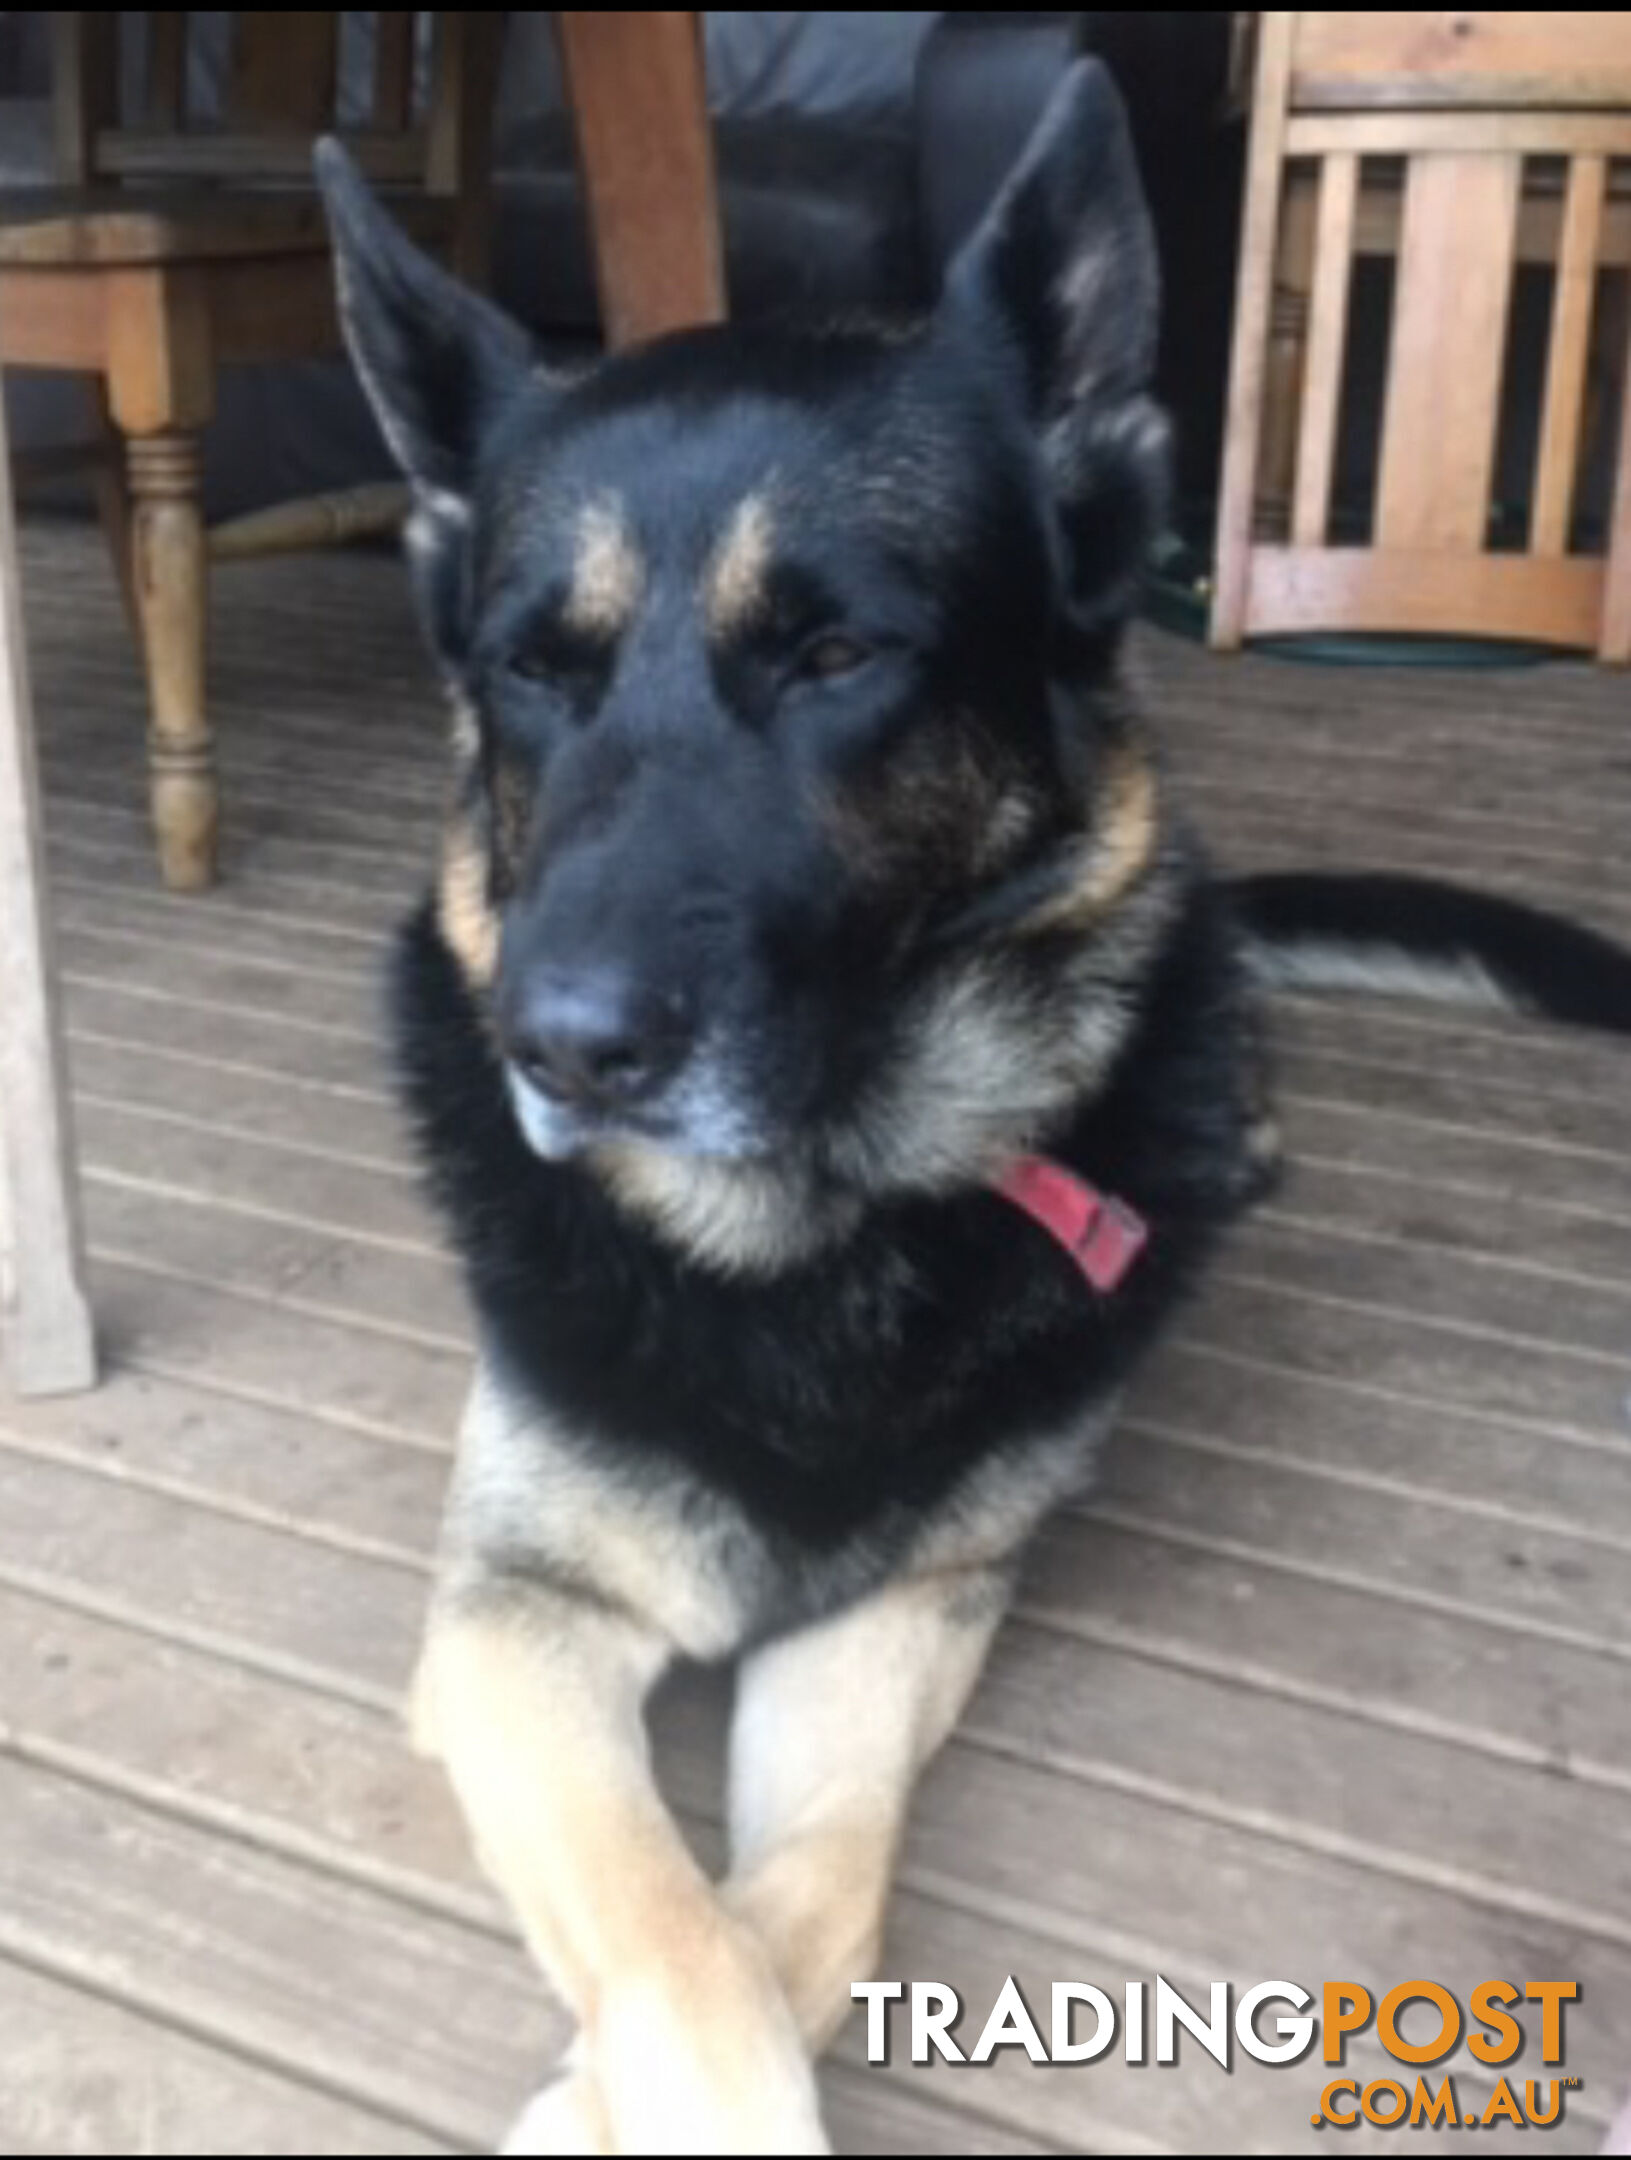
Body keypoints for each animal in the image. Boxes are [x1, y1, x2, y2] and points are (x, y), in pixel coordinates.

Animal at [315, 67, 1631, 2160]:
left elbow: (793, 1916)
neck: (805, 1238)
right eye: (533, 670)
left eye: (836, 656)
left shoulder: (897, 1614)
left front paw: (590, 2099)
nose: (560, 1052)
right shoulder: (513, 1627)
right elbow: (685, 1953)